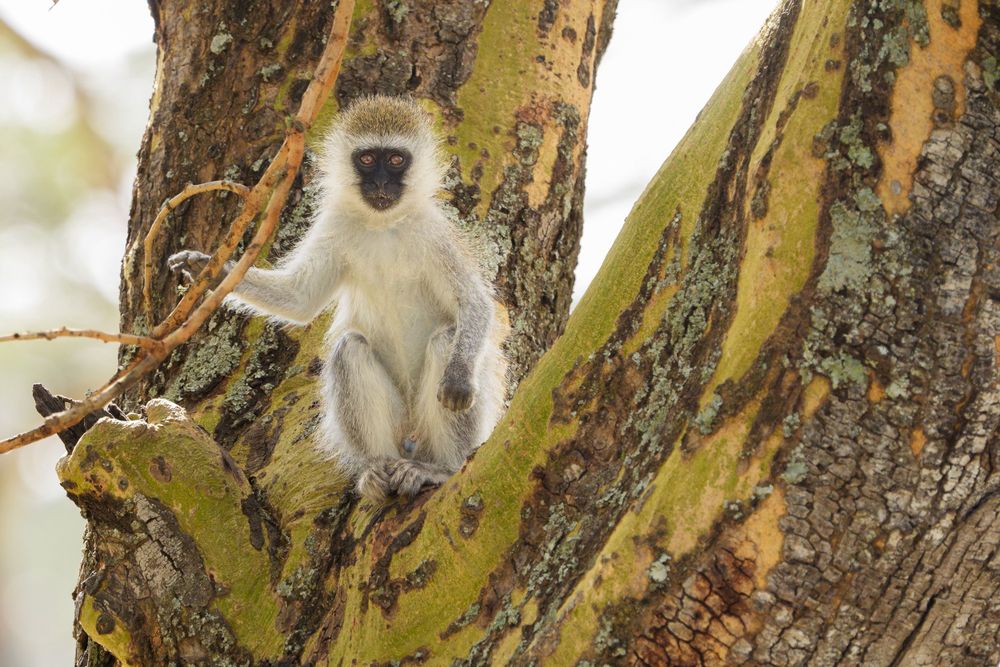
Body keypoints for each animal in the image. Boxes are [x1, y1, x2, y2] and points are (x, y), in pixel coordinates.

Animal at [168, 95, 508, 503]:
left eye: (396, 159)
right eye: (367, 159)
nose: (380, 182)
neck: (383, 226)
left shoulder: (434, 234)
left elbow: (474, 303)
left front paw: (457, 377)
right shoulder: (334, 226)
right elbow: (299, 297)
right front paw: (206, 267)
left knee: (445, 339)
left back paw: (442, 468)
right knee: (350, 350)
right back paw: (376, 469)